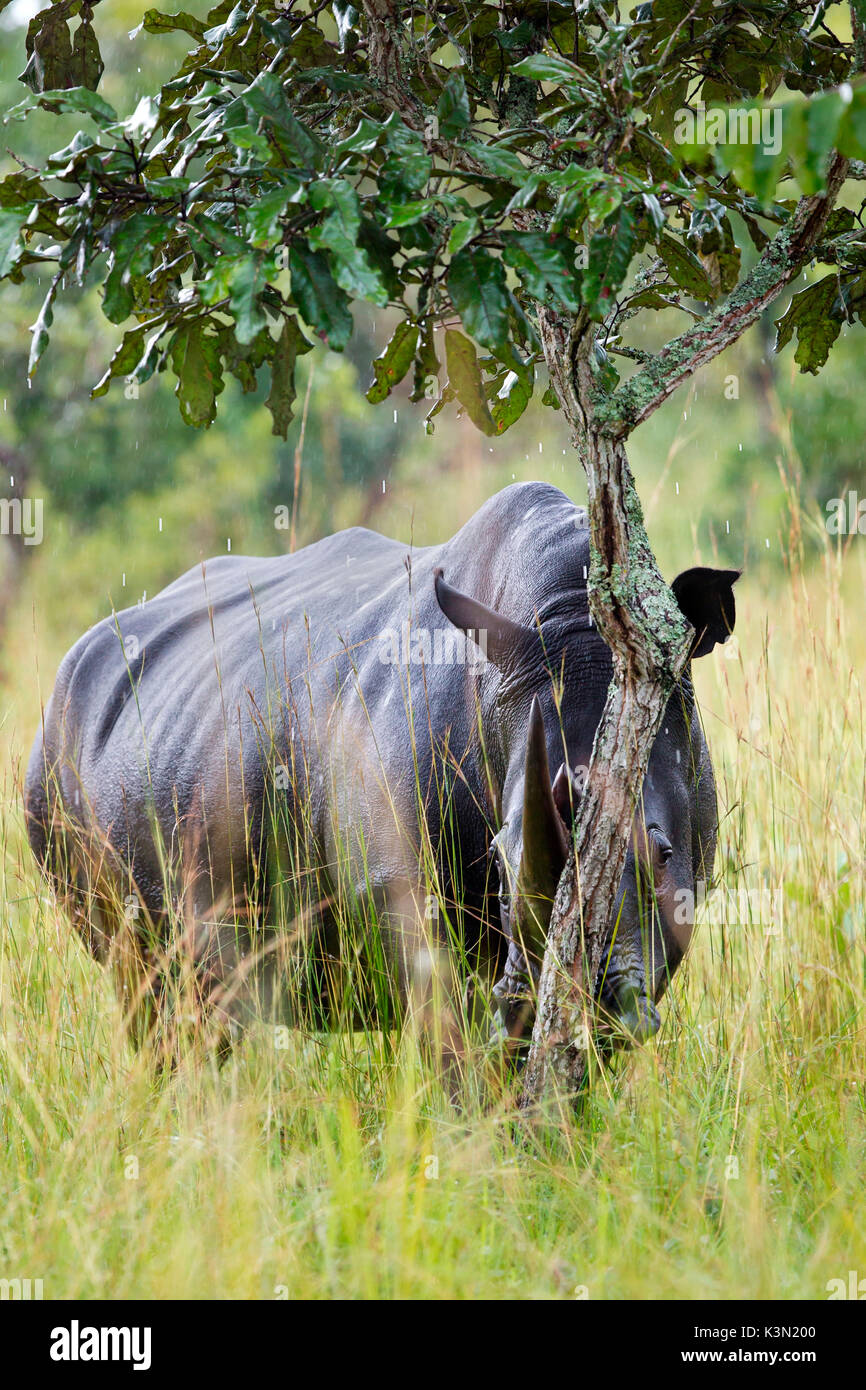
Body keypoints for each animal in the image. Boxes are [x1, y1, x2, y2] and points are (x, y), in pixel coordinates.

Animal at [24, 481, 738, 1064]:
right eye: (500, 859)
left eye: (665, 853)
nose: (551, 994)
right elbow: (454, 1055)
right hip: (51, 768)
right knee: (146, 993)